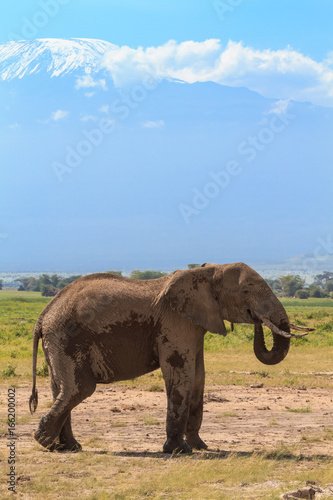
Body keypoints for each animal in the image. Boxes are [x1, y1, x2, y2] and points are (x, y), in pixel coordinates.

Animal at [29, 264, 312, 456]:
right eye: (245, 291)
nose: (257, 319)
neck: (208, 271)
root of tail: (42, 316)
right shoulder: (175, 322)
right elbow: (181, 374)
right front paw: (179, 451)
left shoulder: (194, 323)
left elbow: (198, 377)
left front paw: (201, 446)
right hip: (67, 337)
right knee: (79, 388)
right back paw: (45, 441)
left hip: (57, 340)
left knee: (60, 388)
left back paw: (68, 447)